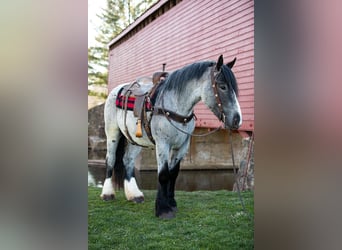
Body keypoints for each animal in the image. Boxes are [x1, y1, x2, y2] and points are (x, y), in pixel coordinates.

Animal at [100, 55, 242, 219]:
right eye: (222, 86)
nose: (237, 120)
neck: (175, 106)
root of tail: (118, 89)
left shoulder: (182, 146)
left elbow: (173, 174)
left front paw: (171, 203)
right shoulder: (163, 144)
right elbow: (163, 175)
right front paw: (163, 209)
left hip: (135, 140)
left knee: (127, 160)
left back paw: (135, 195)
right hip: (112, 133)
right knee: (111, 160)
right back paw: (107, 194)